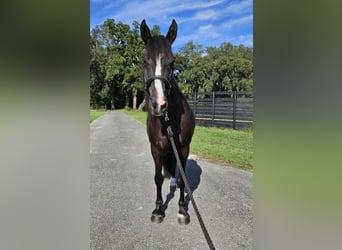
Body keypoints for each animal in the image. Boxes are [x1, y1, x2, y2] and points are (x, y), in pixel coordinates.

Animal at [140, 20, 195, 225]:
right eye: (144, 60)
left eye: (172, 61)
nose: (159, 105)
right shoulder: (155, 149)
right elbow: (157, 178)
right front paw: (158, 210)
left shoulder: (183, 149)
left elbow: (182, 180)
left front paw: (182, 210)